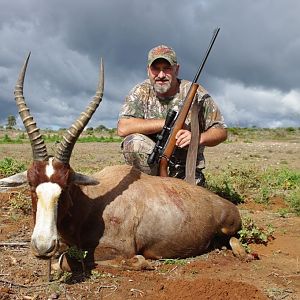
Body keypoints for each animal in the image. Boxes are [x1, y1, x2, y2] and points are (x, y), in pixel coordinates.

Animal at [0, 54, 245, 272]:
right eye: (31, 185)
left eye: (66, 185)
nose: (43, 246)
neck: (92, 203)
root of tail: (223, 203)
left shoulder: (120, 250)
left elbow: (71, 261)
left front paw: (144, 263)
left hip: (228, 228)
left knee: (234, 240)